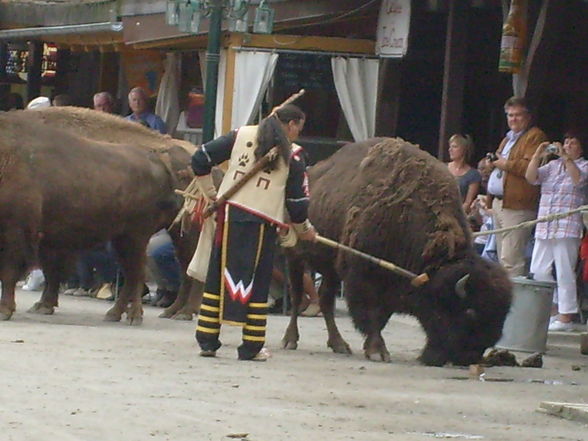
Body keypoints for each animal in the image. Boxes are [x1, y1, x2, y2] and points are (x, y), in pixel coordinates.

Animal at [0, 109, 201, 324]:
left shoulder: (17, 234)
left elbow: (11, 273)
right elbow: (50, 271)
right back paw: (130, 313)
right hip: (132, 238)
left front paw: (6, 310)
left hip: (145, 236)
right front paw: (42, 306)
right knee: (156, 271)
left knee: (148, 272)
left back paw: (148, 315)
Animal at [282, 137, 512, 364]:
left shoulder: (390, 286)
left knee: (326, 299)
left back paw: (339, 344)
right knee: (297, 295)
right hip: (294, 256)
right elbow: (371, 315)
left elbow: (382, 316)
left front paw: (373, 349)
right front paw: (378, 351)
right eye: (470, 311)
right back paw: (290, 340)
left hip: (330, 269)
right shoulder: (364, 279)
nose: (470, 357)